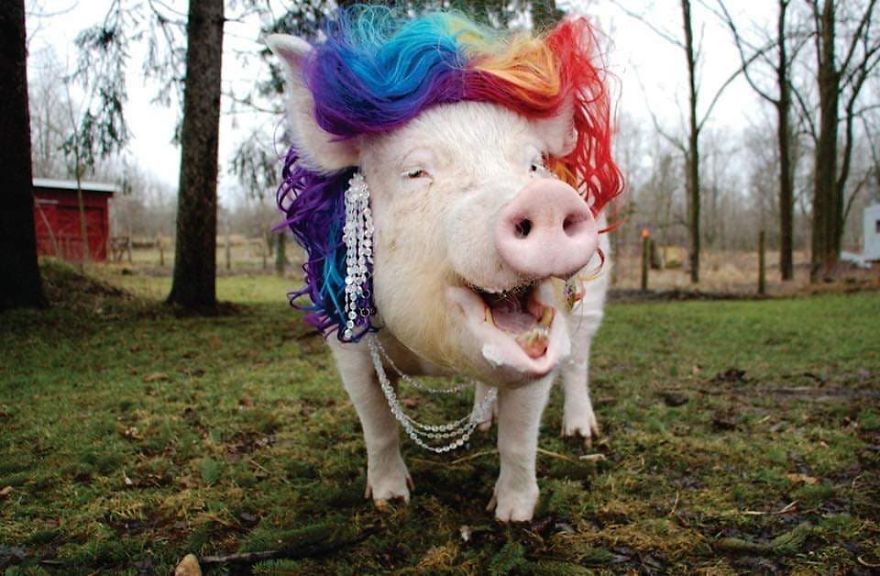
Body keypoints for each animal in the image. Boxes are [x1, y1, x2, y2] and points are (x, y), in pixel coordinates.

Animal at [268, 7, 621, 522]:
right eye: (416, 172)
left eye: (534, 165)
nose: (546, 197)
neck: (433, 356)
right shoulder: (346, 344)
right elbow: (377, 425)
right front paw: (391, 501)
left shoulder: (545, 342)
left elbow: (520, 438)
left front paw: (512, 517)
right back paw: (480, 425)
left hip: (590, 304)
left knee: (577, 363)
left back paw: (580, 435)